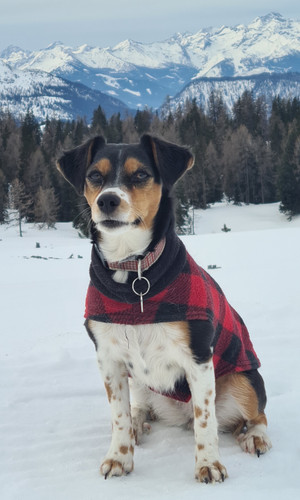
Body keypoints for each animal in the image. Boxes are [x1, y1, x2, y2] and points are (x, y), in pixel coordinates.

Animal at [56, 135, 272, 482]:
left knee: (256, 414)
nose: (107, 201)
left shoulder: (199, 357)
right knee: (141, 408)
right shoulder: (109, 358)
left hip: (244, 380)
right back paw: (138, 422)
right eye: (95, 176)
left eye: (141, 174)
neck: (134, 276)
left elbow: (206, 421)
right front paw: (119, 457)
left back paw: (255, 437)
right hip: (141, 383)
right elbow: (118, 415)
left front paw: (209, 464)